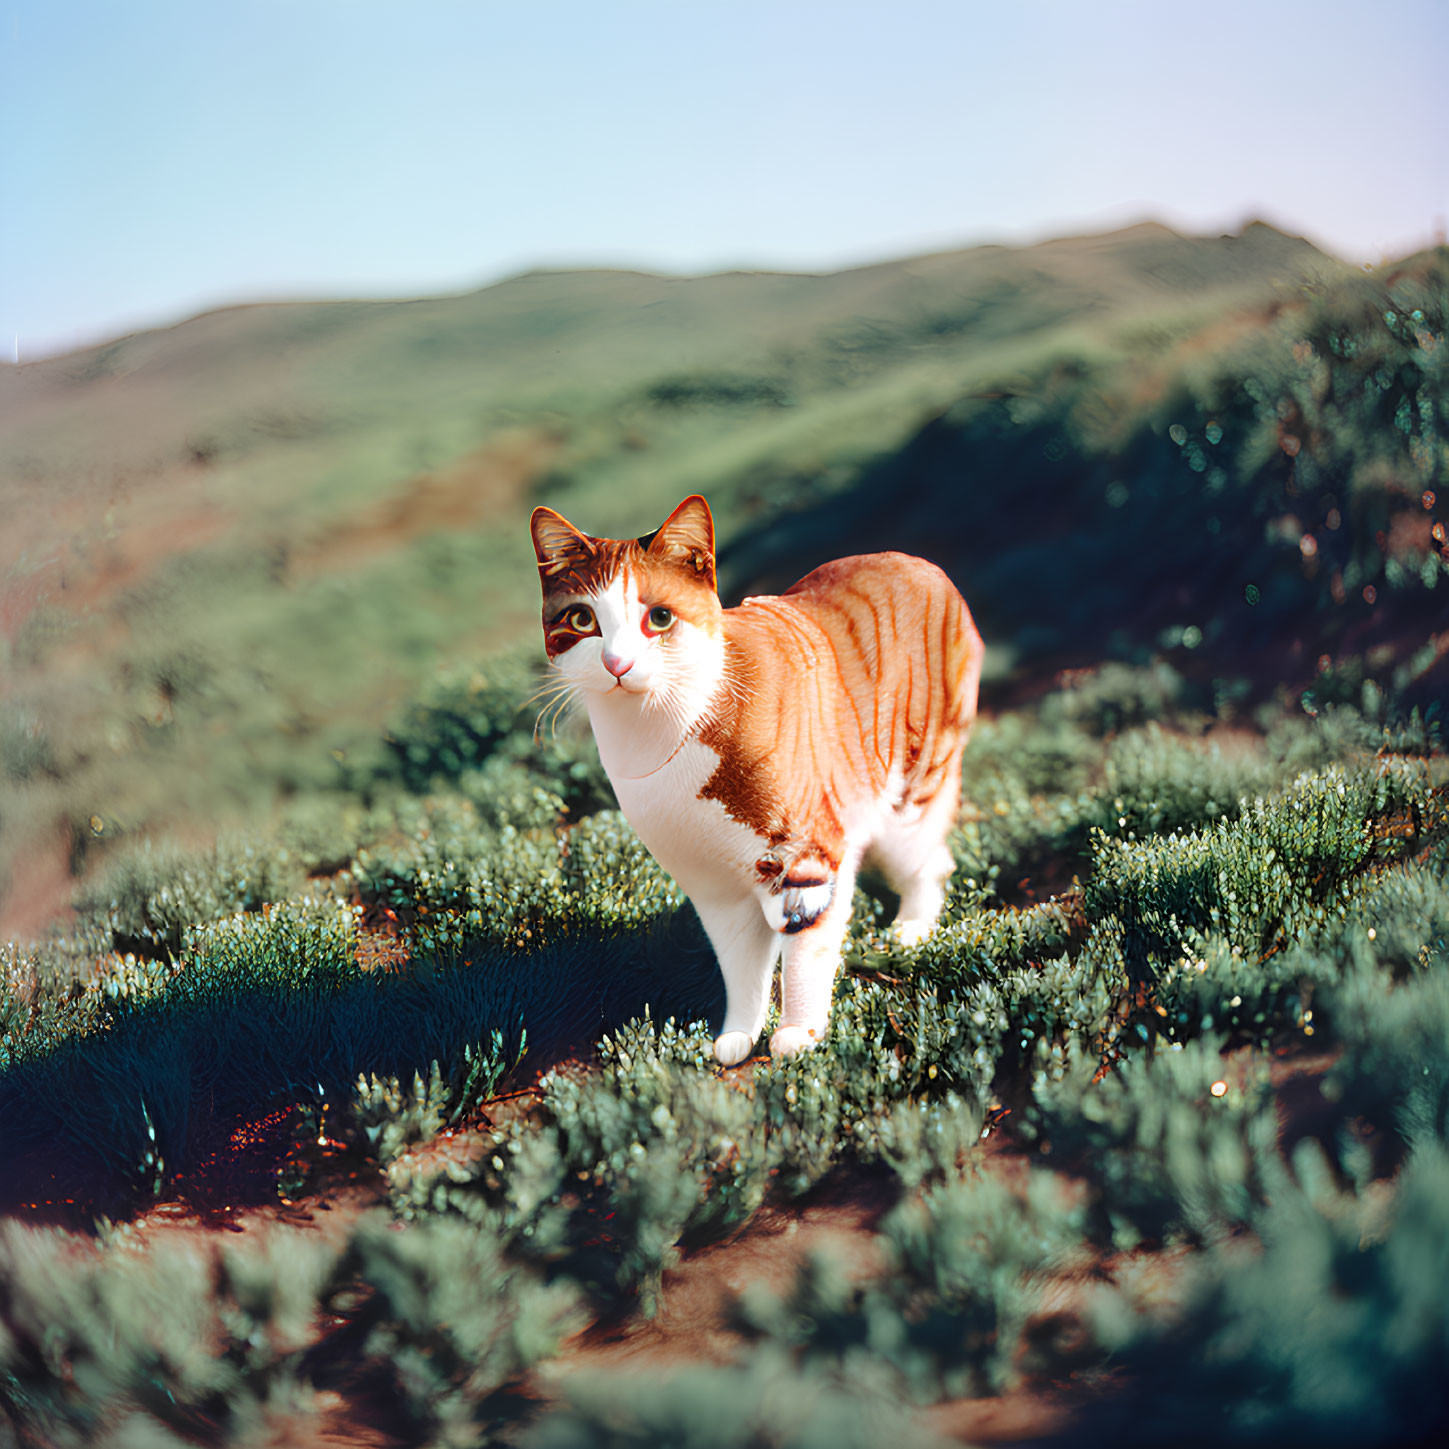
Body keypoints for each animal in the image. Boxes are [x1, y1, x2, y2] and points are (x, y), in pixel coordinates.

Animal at [533, 495, 985, 1066]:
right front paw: (738, 1035)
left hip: (910, 793)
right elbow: (739, 967)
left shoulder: (809, 857)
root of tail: (915, 559)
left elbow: (805, 950)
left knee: (931, 860)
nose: (618, 663)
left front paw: (799, 1033)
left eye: (659, 617)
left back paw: (911, 930)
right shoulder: (714, 892)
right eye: (582, 618)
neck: (657, 734)